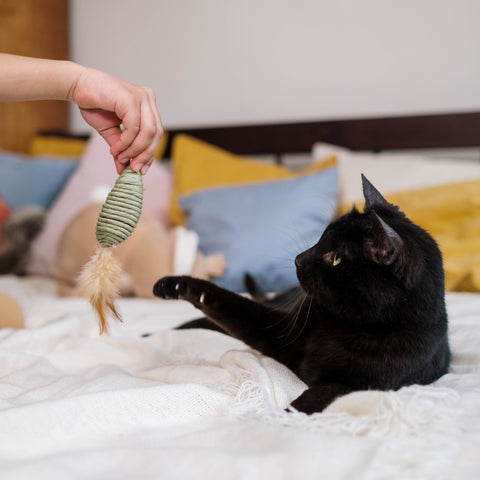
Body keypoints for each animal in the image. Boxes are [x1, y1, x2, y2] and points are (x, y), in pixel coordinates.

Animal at [154, 175, 450, 412]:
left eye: (335, 258)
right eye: (321, 238)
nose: (298, 259)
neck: (348, 327)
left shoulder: (356, 385)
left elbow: (314, 399)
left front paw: (282, 417)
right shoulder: (280, 329)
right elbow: (227, 302)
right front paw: (175, 285)